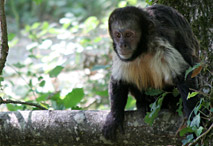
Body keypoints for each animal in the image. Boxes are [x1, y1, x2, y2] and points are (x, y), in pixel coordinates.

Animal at [102, 4, 201, 140]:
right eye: (117, 35)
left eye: (128, 34)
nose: (122, 45)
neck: (142, 50)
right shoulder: (121, 56)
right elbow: (118, 80)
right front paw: (114, 117)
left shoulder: (160, 44)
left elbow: (183, 75)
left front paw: (193, 119)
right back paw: (143, 103)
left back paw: (172, 102)